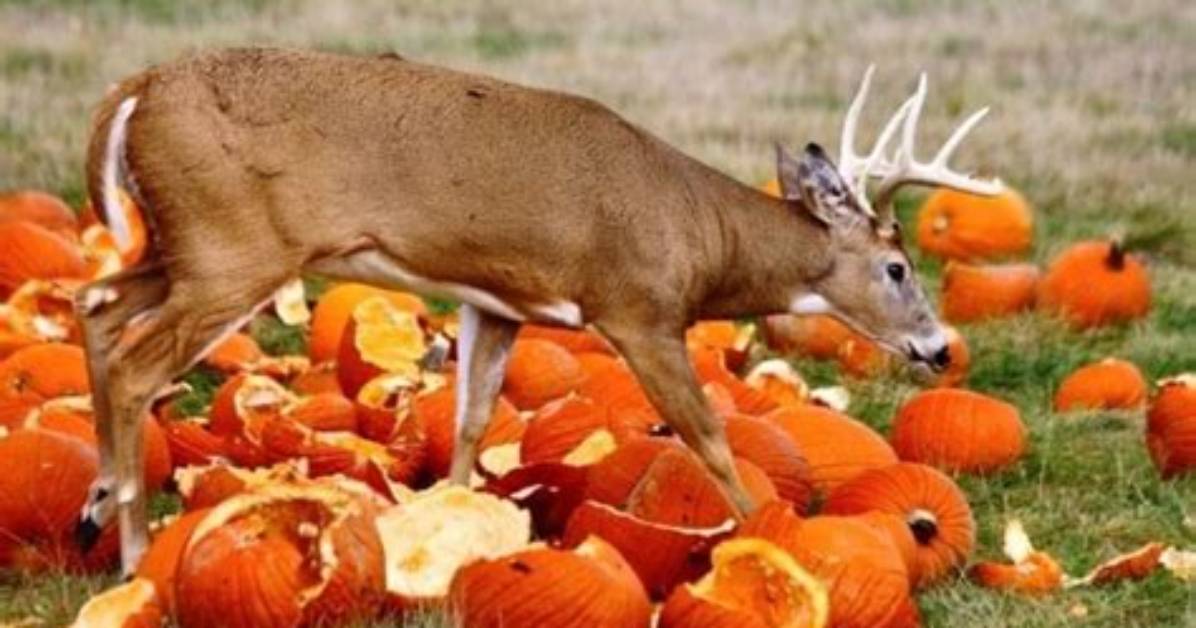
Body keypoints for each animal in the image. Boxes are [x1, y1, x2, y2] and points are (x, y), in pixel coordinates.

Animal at [73, 48, 1001, 574]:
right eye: (896, 266)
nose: (938, 348)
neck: (696, 234)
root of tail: (134, 89)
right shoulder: (637, 308)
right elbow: (707, 435)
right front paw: (765, 532)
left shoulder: (498, 304)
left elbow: (470, 423)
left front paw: (449, 532)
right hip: (232, 251)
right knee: (135, 360)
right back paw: (130, 555)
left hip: (181, 248)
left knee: (94, 304)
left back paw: (92, 512)